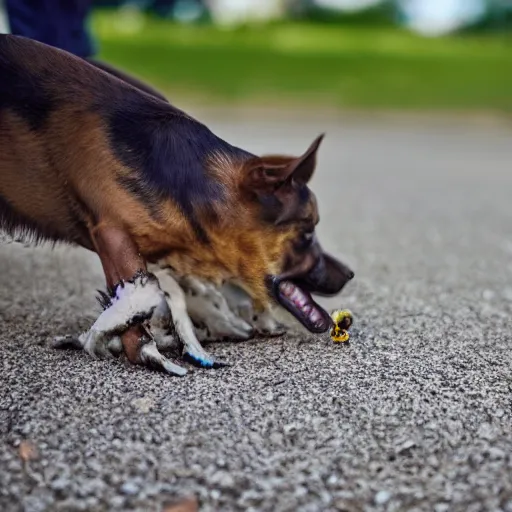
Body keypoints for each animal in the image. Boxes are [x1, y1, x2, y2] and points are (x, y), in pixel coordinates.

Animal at [0, 34, 354, 374]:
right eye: (307, 232)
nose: (350, 273)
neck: (189, 188)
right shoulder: (112, 237)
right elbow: (134, 308)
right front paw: (148, 351)